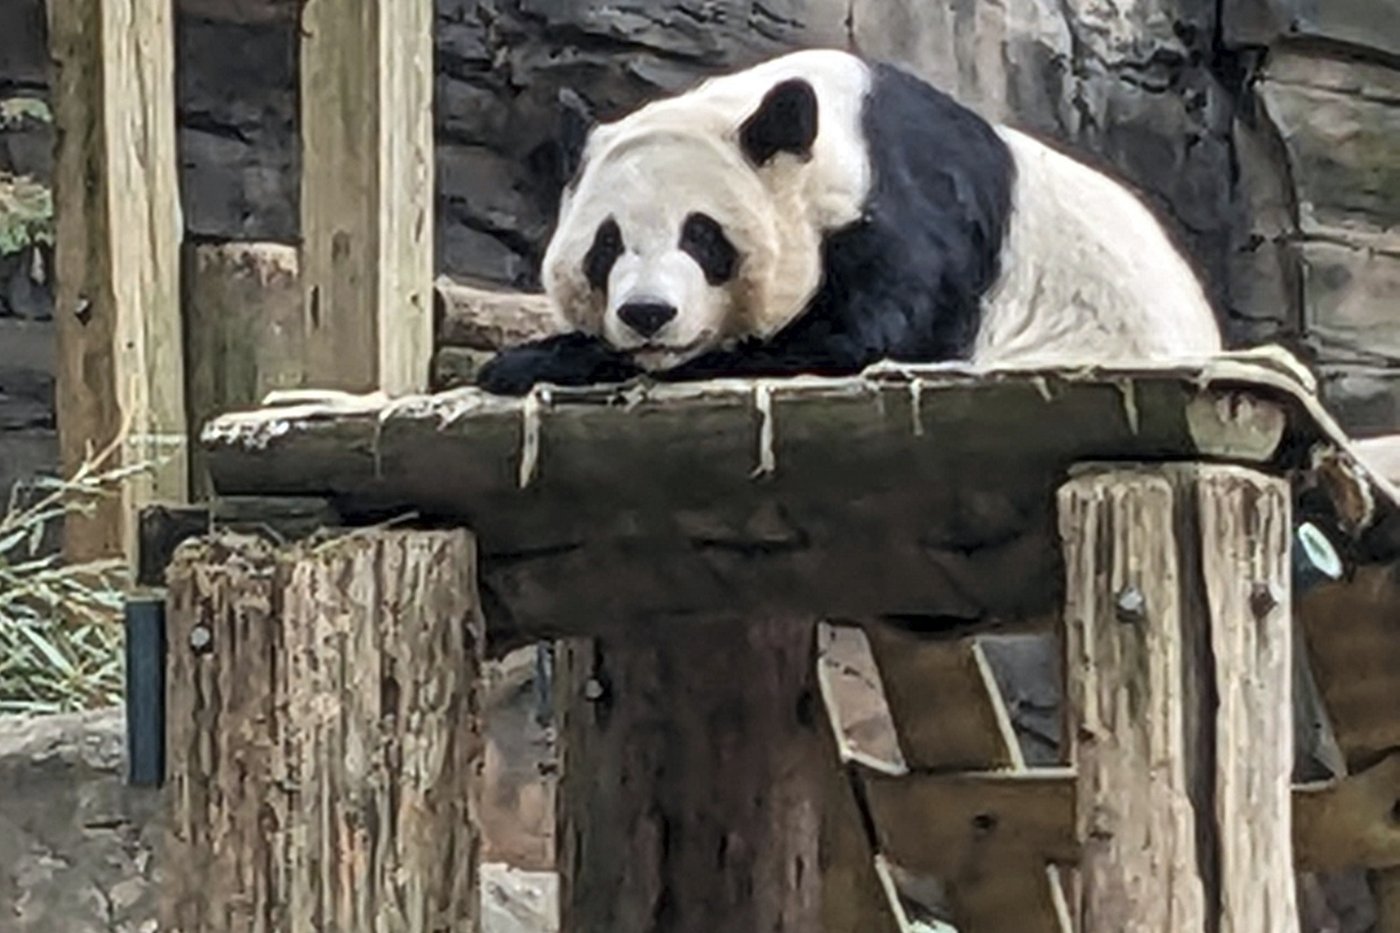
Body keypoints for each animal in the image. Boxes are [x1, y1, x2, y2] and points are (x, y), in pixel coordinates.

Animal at [477, 49, 1222, 396]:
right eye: (606, 245)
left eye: (703, 236)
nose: (648, 314)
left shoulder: (911, 216)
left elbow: (852, 340)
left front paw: (531, 360)